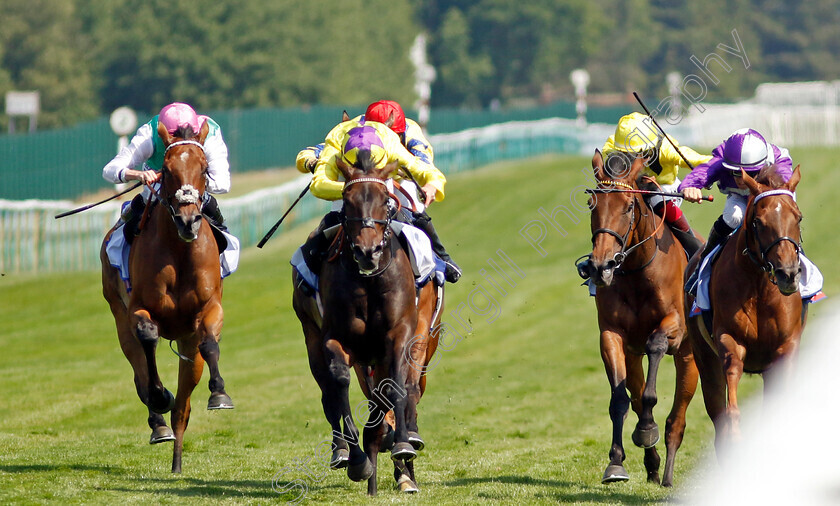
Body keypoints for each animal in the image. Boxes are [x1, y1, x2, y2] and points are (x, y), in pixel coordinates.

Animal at [101, 120, 233, 472]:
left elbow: (210, 342)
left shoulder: (209, 309)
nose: (188, 221)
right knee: (140, 372)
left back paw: (176, 463)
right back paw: (159, 424)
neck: (180, 250)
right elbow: (148, 340)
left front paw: (219, 394)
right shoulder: (138, 310)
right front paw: (160, 395)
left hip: (188, 347)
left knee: (183, 408)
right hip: (119, 318)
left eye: (204, 168)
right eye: (166, 169)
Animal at [292, 153, 442, 494]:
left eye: (385, 199)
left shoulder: (401, 335)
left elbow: (399, 384)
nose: (367, 252)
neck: (370, 280)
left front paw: (402, 444)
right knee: (328, 392)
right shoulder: (336, 338)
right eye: (347, 201)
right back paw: (344, 450)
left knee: (407, 388)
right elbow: (339, 381)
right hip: (312, 336)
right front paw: (358, 459)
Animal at [580, 149, 700, 486]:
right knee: (634, 396)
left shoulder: (675, 327)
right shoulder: (612, 335)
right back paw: (653, 464)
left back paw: (668, 473)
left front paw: (647, 429)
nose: (601, 266)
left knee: (677, 418)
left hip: (690, 358)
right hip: (634, 357)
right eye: (592, 203)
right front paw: (615, 463)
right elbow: (620, 399)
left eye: (629, 206)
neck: (637, 273)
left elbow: (656, 348)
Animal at [688, 167, 808, 454]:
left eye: (798, 217)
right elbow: (730, 398)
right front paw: (735, 438)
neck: (760, 287)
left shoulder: (786, 348)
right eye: (759, 222)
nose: (788, 274)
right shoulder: (729, 339)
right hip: (704, 359)